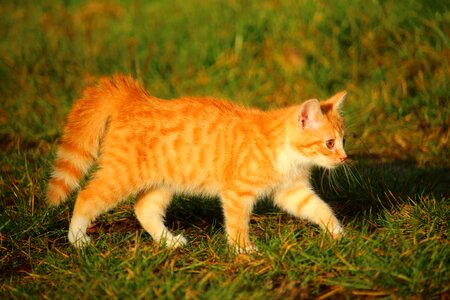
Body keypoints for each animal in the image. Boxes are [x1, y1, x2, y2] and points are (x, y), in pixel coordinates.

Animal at [46, 75, 348, 253]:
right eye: (329, 143)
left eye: (344, 139)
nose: (344, 158)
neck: (285, 151)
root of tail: (136, 99)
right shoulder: (236, 193)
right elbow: (237, 224)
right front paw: (243, 251)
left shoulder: (291, 191)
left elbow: (319, 208)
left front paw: (339, 234)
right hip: (121, 175)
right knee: (86, 196)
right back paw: (77, 239)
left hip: (163, 182)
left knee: (144, 208)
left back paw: (168, 241)